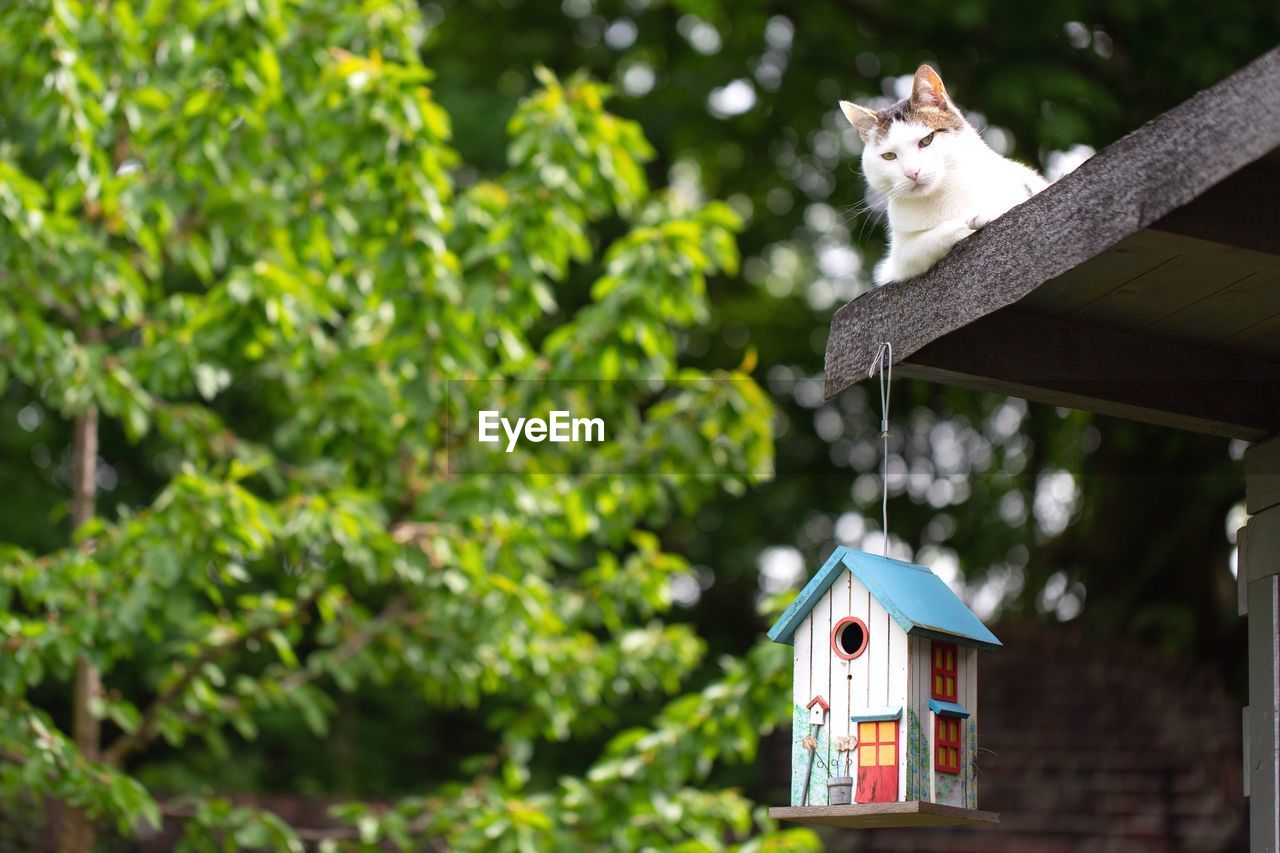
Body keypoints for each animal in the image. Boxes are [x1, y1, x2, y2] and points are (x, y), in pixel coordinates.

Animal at [839, 64, 1049, 281]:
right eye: (889, 156)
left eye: (926, 140)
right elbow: (929, 240)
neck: (941, 195)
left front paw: (987, 211)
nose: (912, 172)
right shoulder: (898, 261)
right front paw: (966, 223)